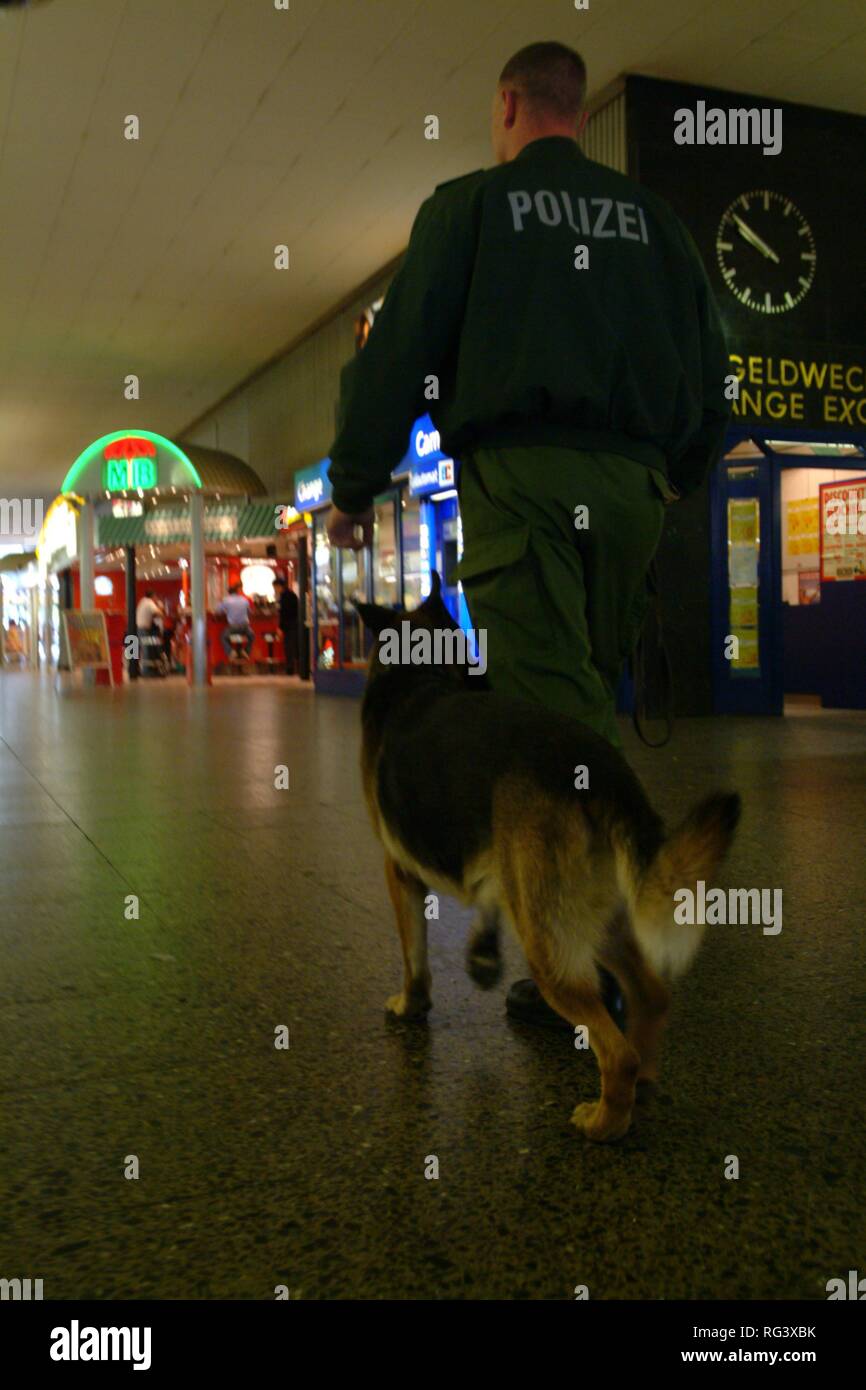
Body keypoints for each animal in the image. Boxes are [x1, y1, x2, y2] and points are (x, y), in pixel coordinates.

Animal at [353, 575, 739, 1139]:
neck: (422, 673)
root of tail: (602, 772)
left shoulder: (398, 873)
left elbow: (414, 958)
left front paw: (412, 1005)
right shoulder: (497, 869)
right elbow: (483, 905)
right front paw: (482, 955)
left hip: (544, 936)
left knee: (614, 1049)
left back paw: (605, 1122)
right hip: (592, 918)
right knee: (650, 996)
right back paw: (642, 1086)